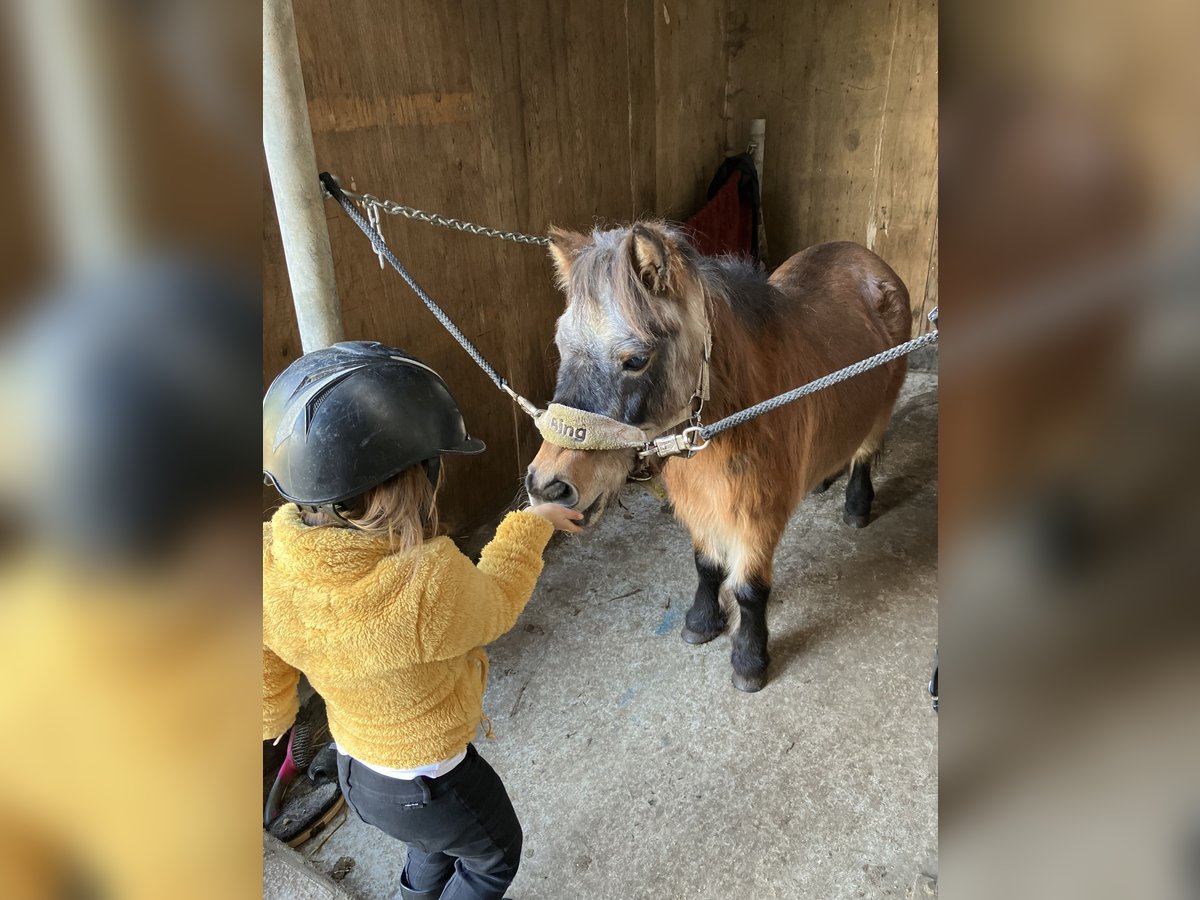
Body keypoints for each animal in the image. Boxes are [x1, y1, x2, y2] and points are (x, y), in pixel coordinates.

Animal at [525, 225, 907, 691]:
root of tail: (868, 260)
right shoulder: (703, 506)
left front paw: (749, 660)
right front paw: (701, 623)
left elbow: (750, 590)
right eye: (562, 347)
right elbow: (706, 566)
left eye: (636, 359)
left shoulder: (758, 518)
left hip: (883, 407)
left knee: (865, 452)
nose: (547, 485)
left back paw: (856, 506)